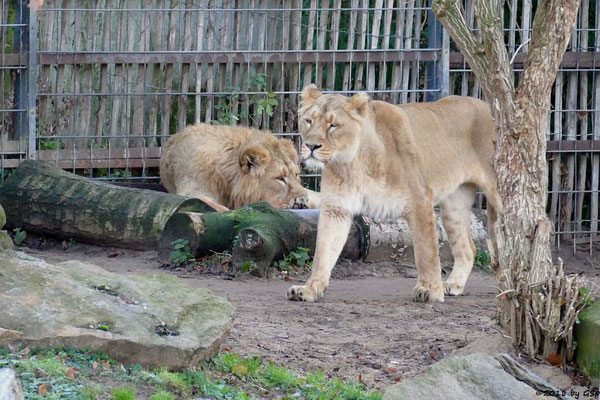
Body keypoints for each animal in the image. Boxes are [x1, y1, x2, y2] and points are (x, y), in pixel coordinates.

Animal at [286, 85, 502, 304]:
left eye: (334, 125)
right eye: (308, 121)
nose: (311, 146)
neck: (350, 164)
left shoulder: (420, 202)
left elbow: (426, 253)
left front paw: (430, 290)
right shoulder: (336, 209)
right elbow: (323, 252)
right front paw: (310, 289)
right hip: (454, 205)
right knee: (468, 249)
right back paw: (454, 285)